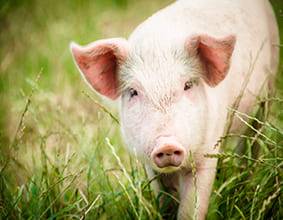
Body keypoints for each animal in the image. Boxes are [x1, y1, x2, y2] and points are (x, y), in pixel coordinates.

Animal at [70, 0, 280, 219]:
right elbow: (165, 201)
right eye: (133, 92)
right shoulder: (151, 166)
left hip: (268, 90)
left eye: (188, 85)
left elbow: (191, 207)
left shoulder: (206, 153)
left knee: (253, 138)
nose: (167, 144)